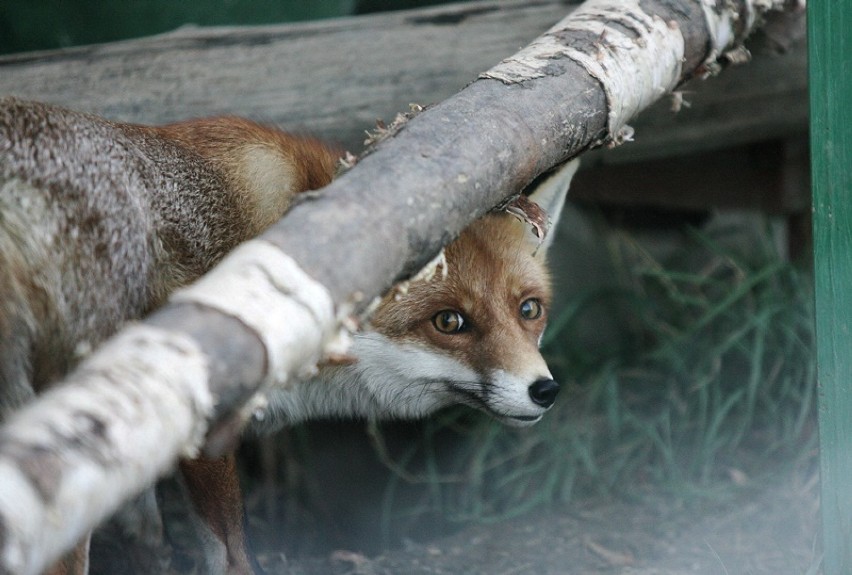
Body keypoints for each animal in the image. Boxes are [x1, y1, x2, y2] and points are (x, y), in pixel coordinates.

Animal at [0, 97, 576, 572]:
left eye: (529, 309)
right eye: (449, 322)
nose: (545, 390)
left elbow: (149, 534)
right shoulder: (204, 422)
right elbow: (232, 554)